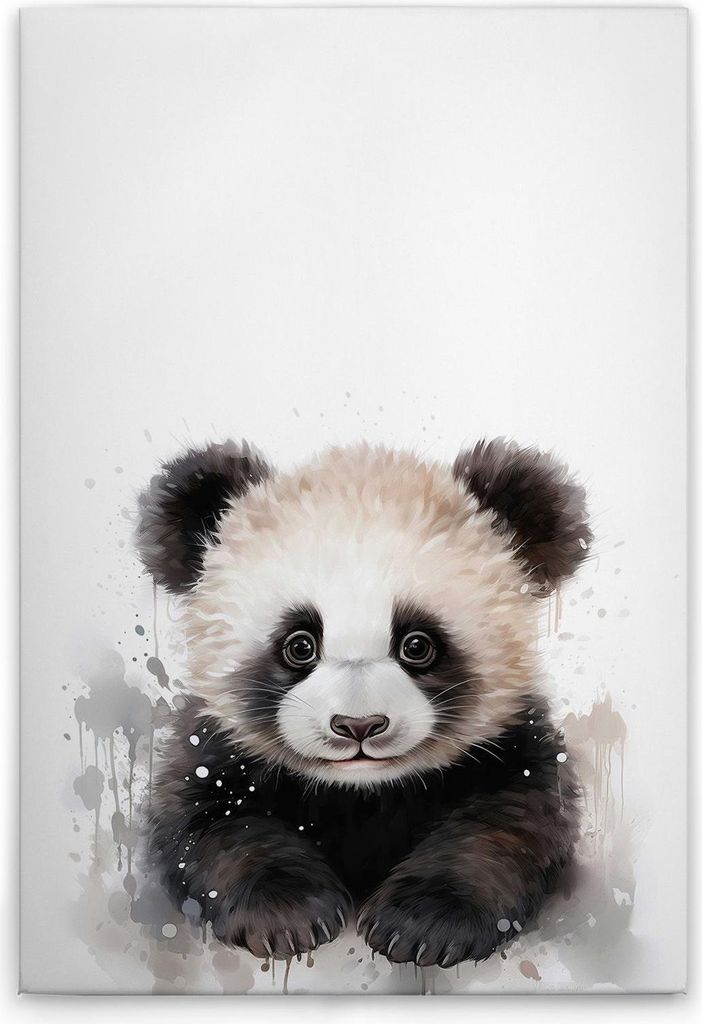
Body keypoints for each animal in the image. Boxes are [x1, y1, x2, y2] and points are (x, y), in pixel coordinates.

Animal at [135, 439, 590, 968]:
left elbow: (509, 823)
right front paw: (285, 913)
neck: (362, 791)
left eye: (417, 645)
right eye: (299, 645)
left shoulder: (511, 741)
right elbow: (207, 821)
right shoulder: (215, 743)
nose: (358, 725)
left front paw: (425, 924)